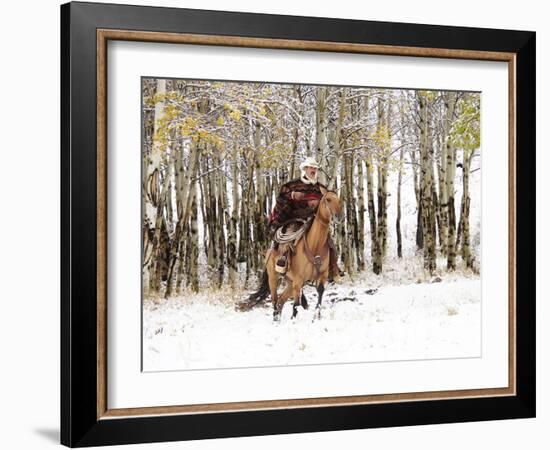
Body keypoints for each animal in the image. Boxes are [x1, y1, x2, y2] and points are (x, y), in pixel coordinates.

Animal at [248, 188, 342, 322]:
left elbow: (319, 296)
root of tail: (269, 251)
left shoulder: (322, 276)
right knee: (275, 300)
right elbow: (296, 305)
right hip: (274, 277)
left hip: (289, 281)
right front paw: (294, 320)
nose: (339, 216)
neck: (315, 245)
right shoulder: (298, 280)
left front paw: (316, 317)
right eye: (328, 199)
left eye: (339, 200)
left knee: (281, 300)